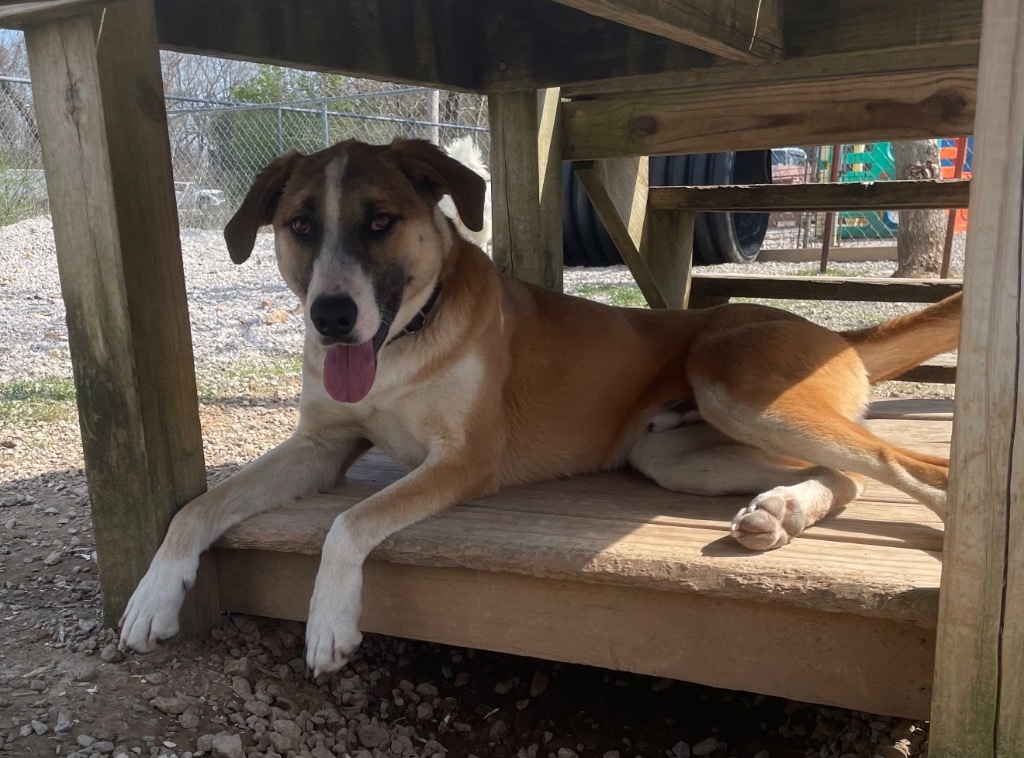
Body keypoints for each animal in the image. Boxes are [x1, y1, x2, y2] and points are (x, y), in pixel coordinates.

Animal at [117, 137, 958, 676]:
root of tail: (834, 333)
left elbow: (348, 521)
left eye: (380, 221)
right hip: (676, 452)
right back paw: (779, 511)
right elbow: (198, 507)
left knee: (910, 463)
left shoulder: (464, 461)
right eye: (299, 225)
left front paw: (328, 621)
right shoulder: (319, 448)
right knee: (848, 475)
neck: (403, 344)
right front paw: (154, 596)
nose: (330, 316)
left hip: (738, 387)